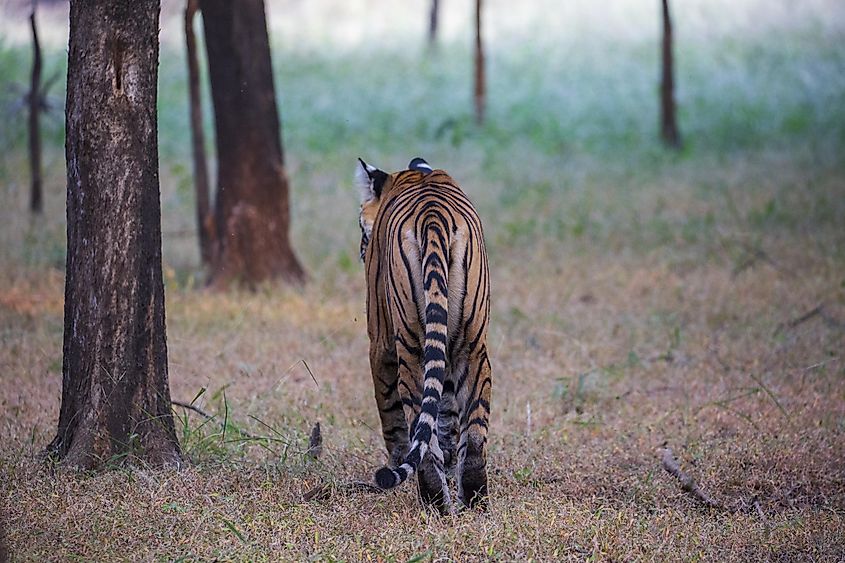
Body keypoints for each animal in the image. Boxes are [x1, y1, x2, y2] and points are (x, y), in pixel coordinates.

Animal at [358, 156, 492, 512]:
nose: (361, 250)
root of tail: (432, 217)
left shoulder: (380, 343)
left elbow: (391, 415)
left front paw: (395, 463)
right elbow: (445, 412)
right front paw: (450, 459)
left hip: (408, 347)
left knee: (419, 427)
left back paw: (433, 502)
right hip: (473, 345)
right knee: (474, 432)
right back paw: (473, 501)